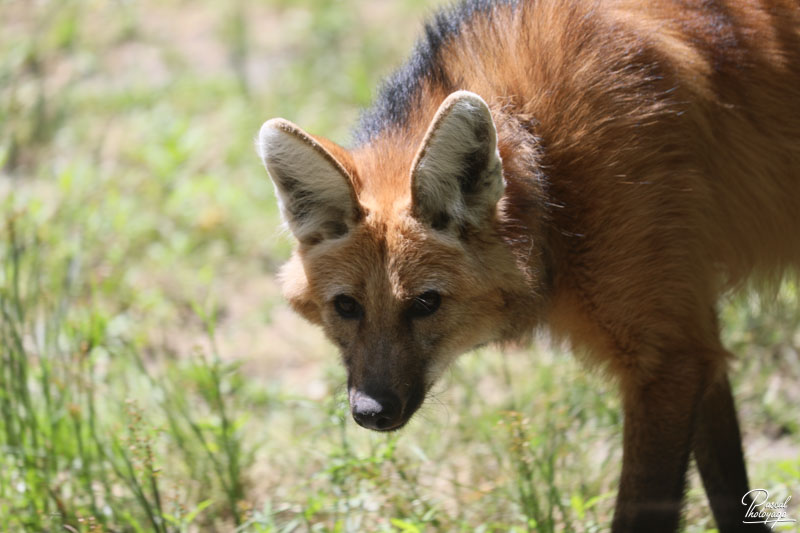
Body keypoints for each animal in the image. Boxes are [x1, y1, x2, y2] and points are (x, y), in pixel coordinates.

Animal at [258, 0, 800, 528]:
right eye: (347, 307)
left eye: (426, 303)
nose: (371, 411)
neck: (549, 161)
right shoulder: (693, 334)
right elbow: (731, 495)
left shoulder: (669, 362)